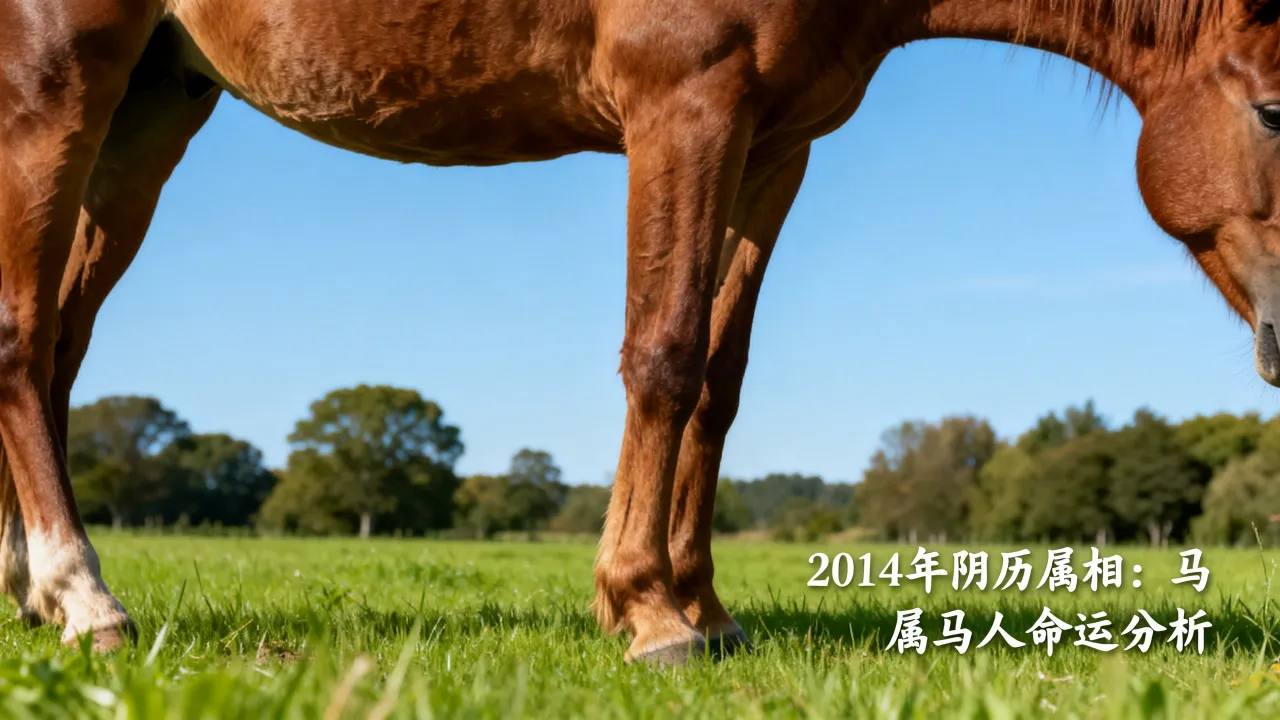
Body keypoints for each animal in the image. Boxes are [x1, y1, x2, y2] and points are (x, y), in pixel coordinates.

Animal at [1, 0, 1278, 665]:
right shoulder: (685, 100)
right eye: (1271, 107)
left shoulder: (771, 143)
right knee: (21, 341)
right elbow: (659, 353)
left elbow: (717, 375)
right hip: (57, 76)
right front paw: (647, 608)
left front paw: (701, 605)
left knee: (61, 343)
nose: (1278, 339)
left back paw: (31, 591)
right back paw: (86, 598)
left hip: (150, 104)